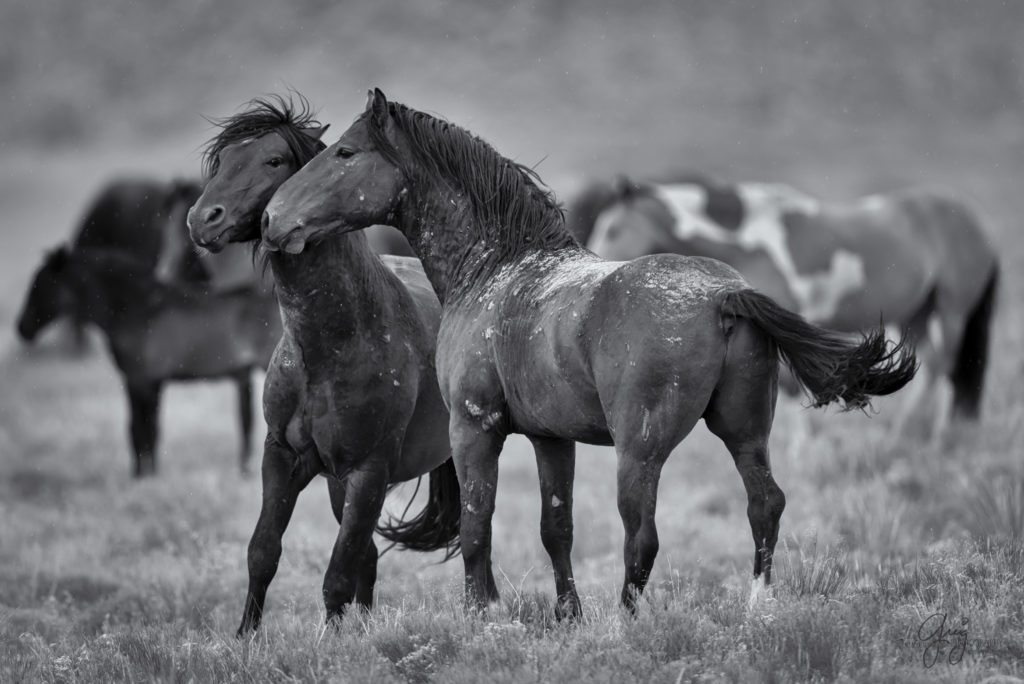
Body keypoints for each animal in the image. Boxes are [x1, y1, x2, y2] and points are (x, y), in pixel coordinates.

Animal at [15, 246, 280, 477]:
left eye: (40, 285)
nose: (22, 328)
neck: (137, 309)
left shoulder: (140, 381)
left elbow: (141, 430)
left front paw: (143, 477)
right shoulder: (149, 383)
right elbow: (147, 429)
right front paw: (146, 474)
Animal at [185, 95, 460, 634]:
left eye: (274, 160)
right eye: (223, 161)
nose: (203, 219)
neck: (328, 348)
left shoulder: (368, 472)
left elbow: (337, 572)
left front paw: (329, 644)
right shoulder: (283, 457)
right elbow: (263, 552)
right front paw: (245, 638)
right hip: (337, 483)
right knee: (368, 558)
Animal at [262, 88, 917, 618]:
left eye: (345, 153)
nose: (272, 219)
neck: (499, 270)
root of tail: (723, 295)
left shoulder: (474, 428)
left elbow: (477, 526)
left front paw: (483, 615)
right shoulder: (552, 440)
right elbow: (557, 528)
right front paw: (566, 616)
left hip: (641, 449)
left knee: (642, 534)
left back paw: (624, 623)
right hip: (743, 432)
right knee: (765, 505)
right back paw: (760, 608)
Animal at [586, 177, 999, 437]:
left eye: (614, 228)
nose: (596, 268)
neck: (747, 240)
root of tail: (973, 220)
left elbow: (786, 388)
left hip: (951, 311)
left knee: (943, 366)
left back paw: (930, 437)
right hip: (917, 314)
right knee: (927, 368)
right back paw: (906, 433)